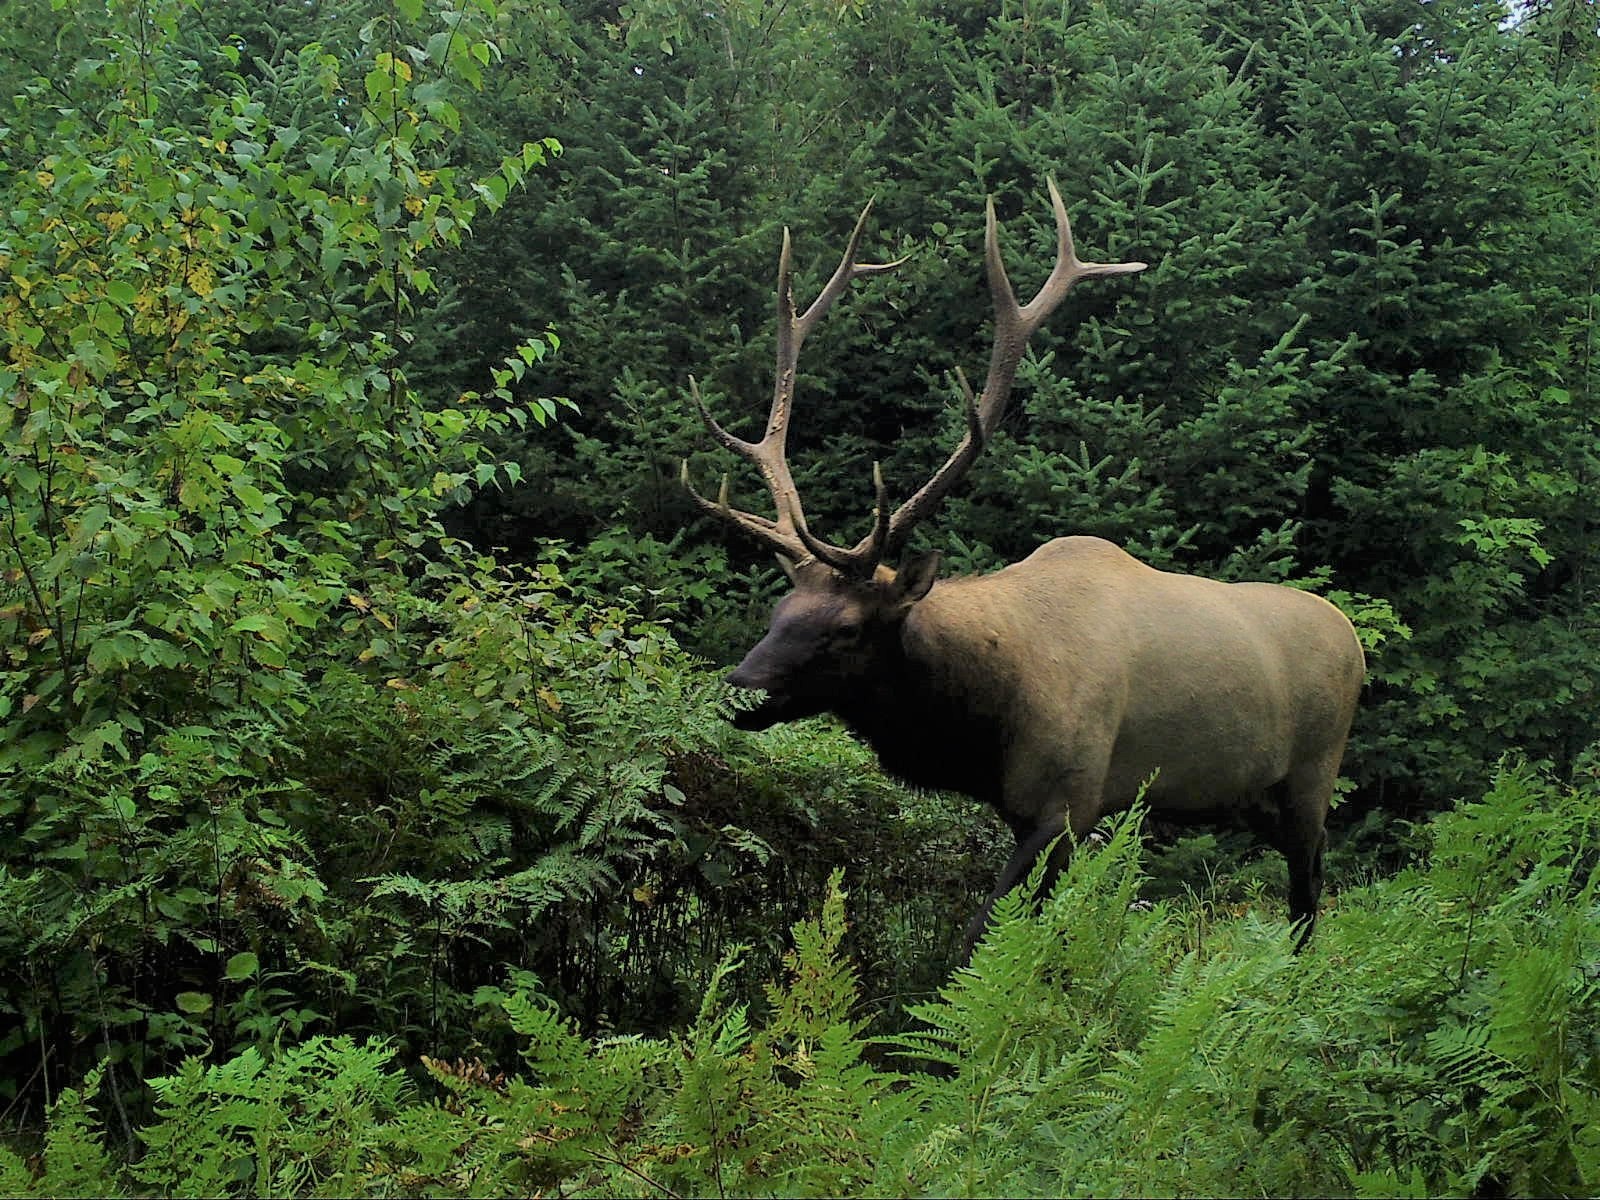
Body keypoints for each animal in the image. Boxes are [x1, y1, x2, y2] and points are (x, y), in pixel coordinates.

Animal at [681, 180, 1369, 960]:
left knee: (1309, 888)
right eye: (779, 613)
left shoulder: (1069, 801)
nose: (739, 687)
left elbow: (982, 940)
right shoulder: (1027, 809)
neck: (986, 715)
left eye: (849, 628)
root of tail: (1355, 641)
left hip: (1313, 774)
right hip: (1251, 794)